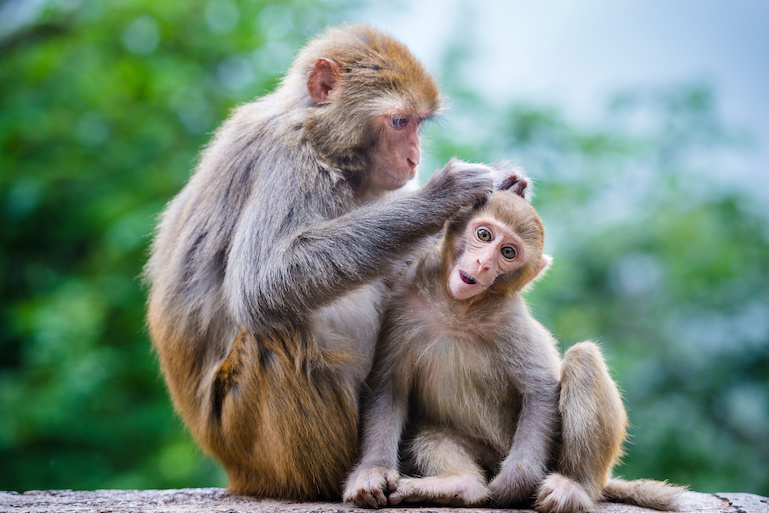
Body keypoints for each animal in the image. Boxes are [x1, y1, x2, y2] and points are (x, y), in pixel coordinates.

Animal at [144, 24, 498, 500]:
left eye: (418, 123)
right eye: (399, 122)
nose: (415, 158)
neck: (322, 141)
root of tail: (237, 471)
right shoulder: (287, 156)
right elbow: (262, 281)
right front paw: (440, 198)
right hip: (255, 435)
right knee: (274, 329)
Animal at [343, 180, 687, 513]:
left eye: (508, 252)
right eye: (484, 235)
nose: (483, 264)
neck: (457, 310)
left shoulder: (510, 321)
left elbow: (540, 391)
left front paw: (516, 481)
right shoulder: (403, 308)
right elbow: (389, 387)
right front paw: (373, 471)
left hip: (546, 459)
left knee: (582, 357)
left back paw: (575, 487)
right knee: (434, 434)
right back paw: (460, 485)